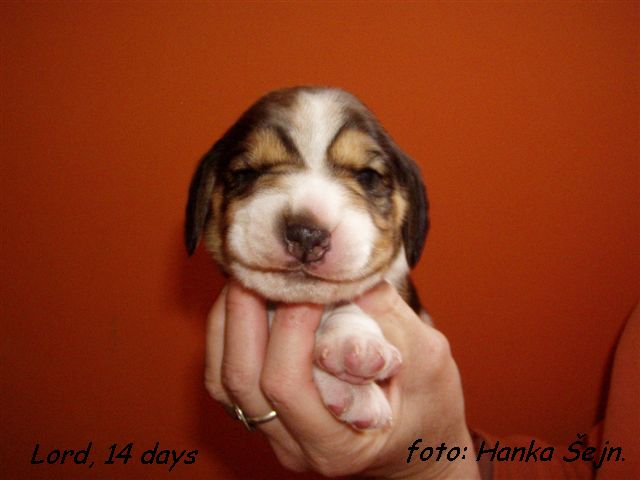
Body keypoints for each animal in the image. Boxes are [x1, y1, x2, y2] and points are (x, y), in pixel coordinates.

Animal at [186, 86, 429, 429]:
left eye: (367, 176)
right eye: (246, 174)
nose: (306, 234)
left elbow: (352, 299)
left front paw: (354, 343)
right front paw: (351, 386)